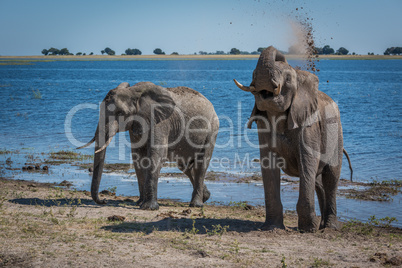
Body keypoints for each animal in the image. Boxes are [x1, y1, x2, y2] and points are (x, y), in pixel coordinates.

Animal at [77, 80, 218, 210]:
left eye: (120, 113)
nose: (104, 201)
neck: (134, 93)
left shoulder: (160, 122)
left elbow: (155, 155)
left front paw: (148, 207)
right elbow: (137, 156)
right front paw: (139, 203)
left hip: (212, 130)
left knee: (201, 163)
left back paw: (196, 205)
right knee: (185, 166)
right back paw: (206, 197)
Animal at [232, 46, 352, 232]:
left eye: (287, 78)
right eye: (253, 74)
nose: (279, 53)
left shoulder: (308, 124)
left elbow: (307, 160)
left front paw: (308, 230)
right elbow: (268, 164)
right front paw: (272, 227)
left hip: (337, 134)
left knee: (331, 176)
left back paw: (329, 228)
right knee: (318, 181)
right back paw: (321, 226)